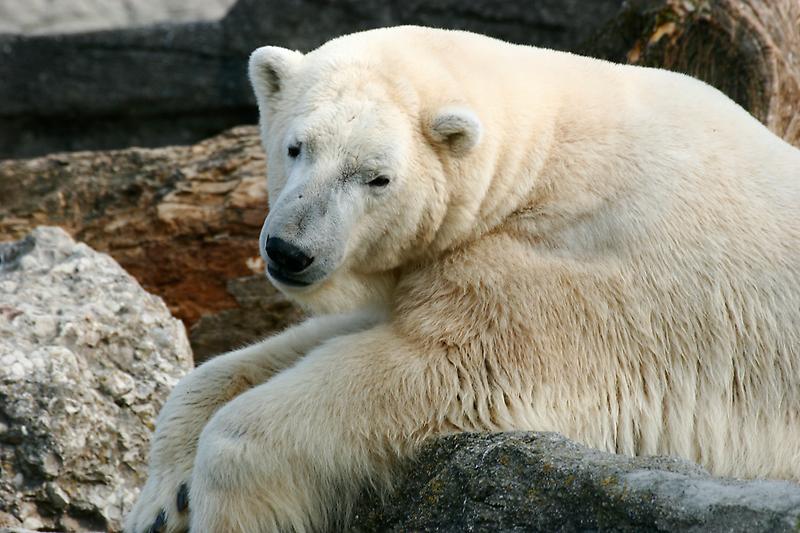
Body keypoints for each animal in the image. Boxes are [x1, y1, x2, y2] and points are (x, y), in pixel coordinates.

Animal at [125, 27, 800, 532]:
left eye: (377, 177)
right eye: (296, 147)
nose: (290, 251)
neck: (539, 164)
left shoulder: (568, 274)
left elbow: (447, 367)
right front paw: (159, 501)